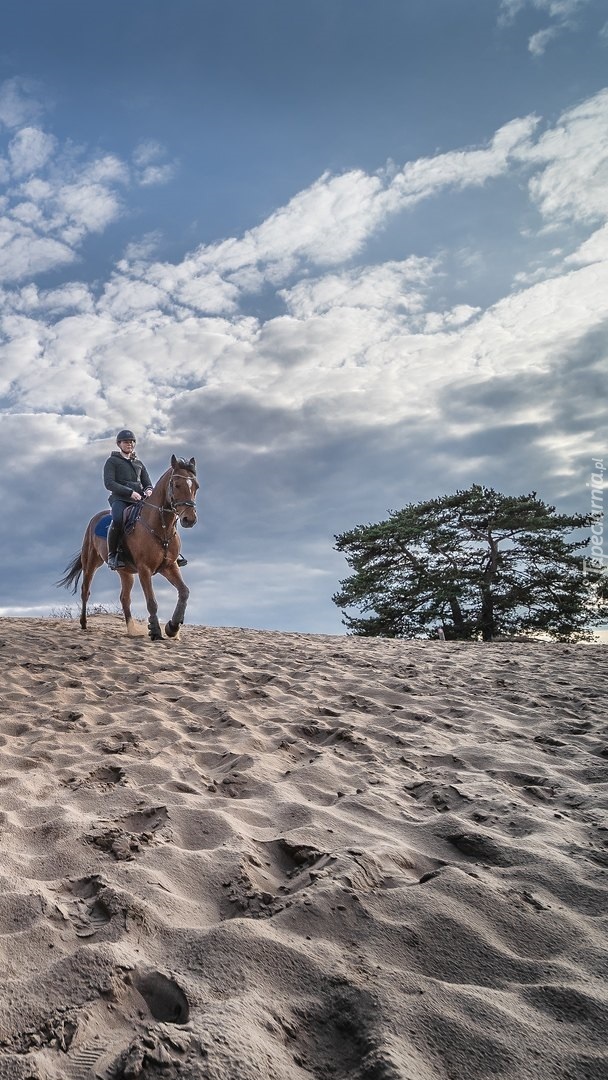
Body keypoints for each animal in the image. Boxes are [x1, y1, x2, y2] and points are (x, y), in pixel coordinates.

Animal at [57, 455, 199, 639]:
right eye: (176, 485)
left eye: (196, 486)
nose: (190, 519)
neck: (160, 527)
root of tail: (96, 517)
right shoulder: (144, 569)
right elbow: (152, 602)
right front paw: (155, 631)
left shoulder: (169, 566)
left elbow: (184, 592)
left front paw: (172, 627)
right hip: (91, 563)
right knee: (85, 591)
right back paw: (83, 623)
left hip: (125, 572)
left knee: (124, 598)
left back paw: (131, 630)